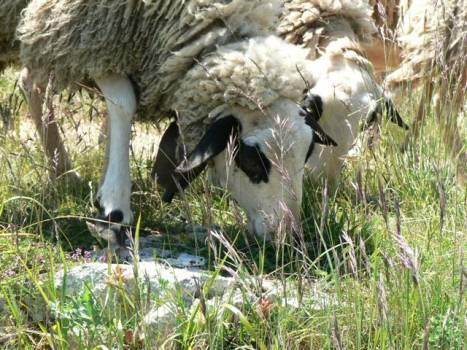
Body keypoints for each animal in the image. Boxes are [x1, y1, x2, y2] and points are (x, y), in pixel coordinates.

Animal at [17, 0, 336, 249]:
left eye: (307, 155)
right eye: (250, 161)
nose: (290, 238)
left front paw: (104, 192)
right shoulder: (90, 34)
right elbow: (123, 103)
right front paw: (114, 208)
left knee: (30, 81)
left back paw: (63, 175)